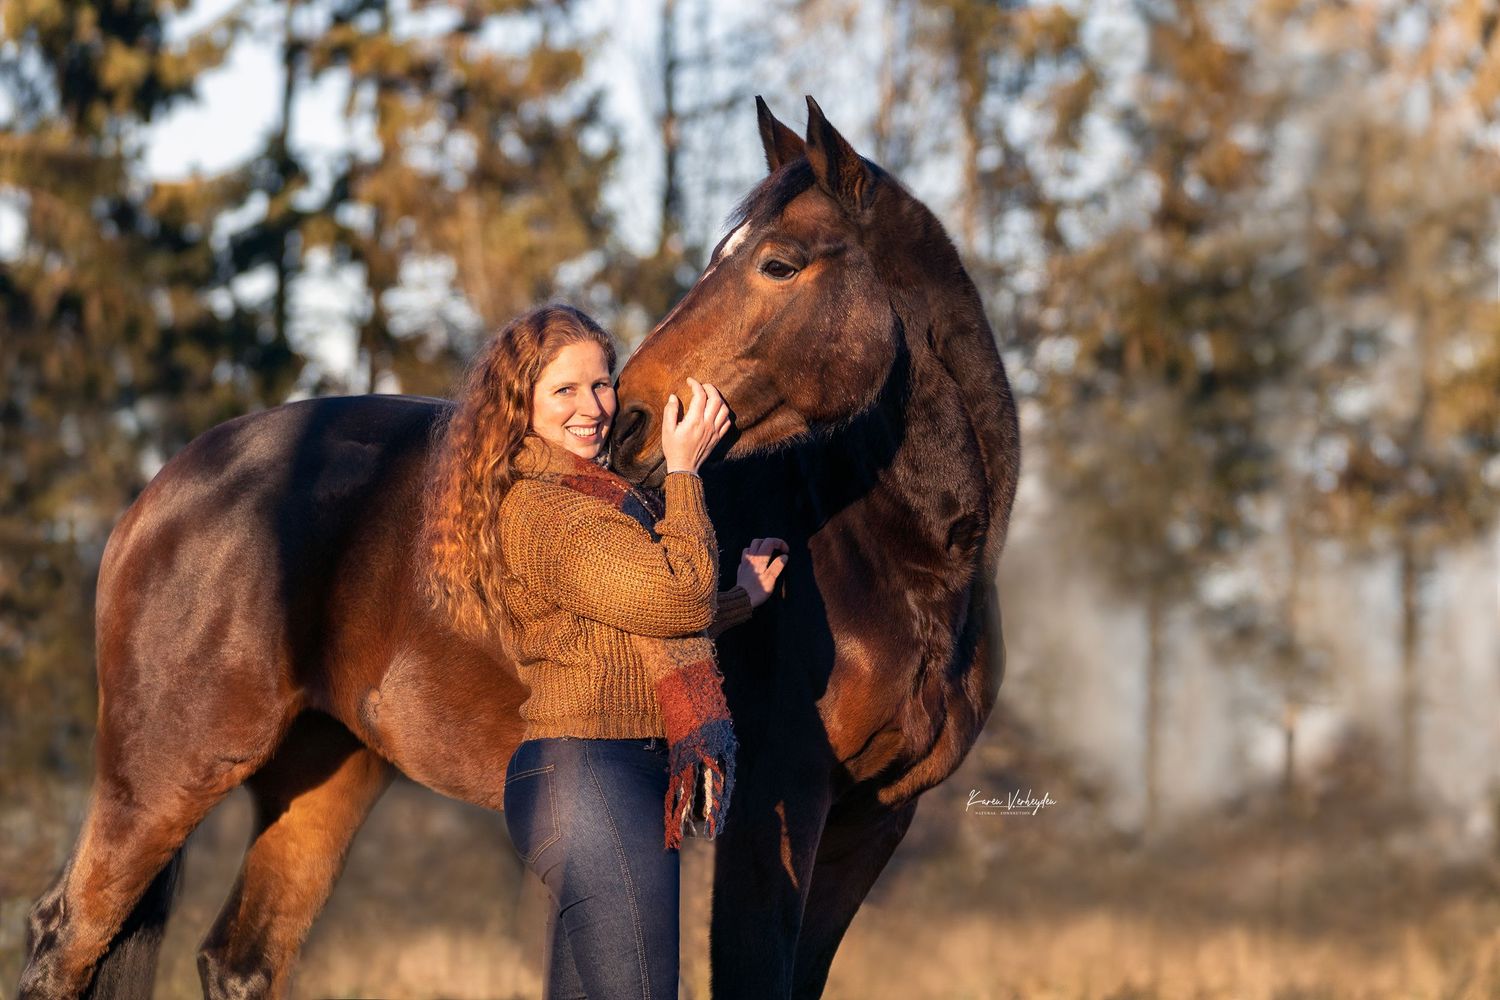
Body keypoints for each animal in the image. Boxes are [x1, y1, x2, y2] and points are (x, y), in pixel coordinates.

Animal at [19, 95, 1018, 999]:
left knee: (239, 961)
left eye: (778, 262)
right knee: (65, 937)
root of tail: (163, 489)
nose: (632, 416)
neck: (899, 562)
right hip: (165, 775)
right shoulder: (776, 805)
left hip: (324, 775)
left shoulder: (870, 822)